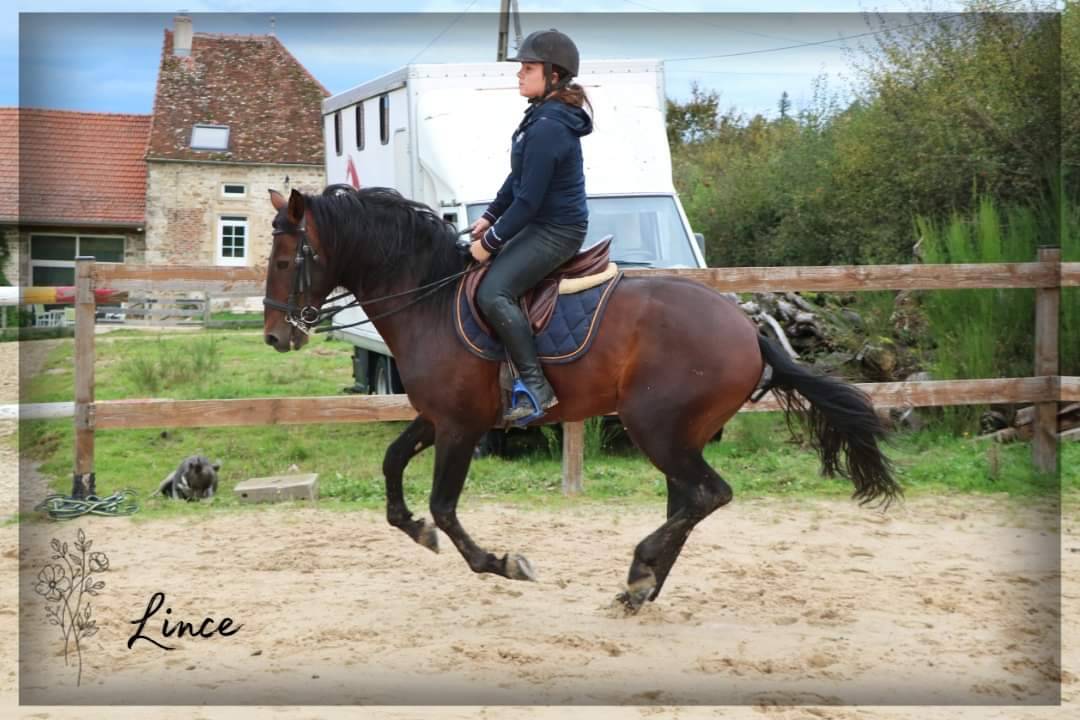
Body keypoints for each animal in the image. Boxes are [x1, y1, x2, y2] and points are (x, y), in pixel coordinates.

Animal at [262, 185, 900, 612]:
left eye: (286, 260)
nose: (274, 337)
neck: (430, 301)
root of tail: (747, 330)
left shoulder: (461, 426)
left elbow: (444, 505)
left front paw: (502, 563)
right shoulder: (438, 416)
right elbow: (393, 465)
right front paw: (415, 529)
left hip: (655, 428)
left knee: (708, 494)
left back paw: (640, 571)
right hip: (677, 435)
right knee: (688, 500)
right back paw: (641, 589)